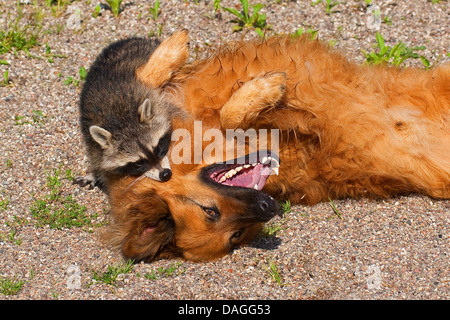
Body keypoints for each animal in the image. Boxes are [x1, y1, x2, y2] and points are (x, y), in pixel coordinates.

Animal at [74, 30, 190, 190]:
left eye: (158, 148)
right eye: (139, 163)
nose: (165, 174)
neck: (121, 120)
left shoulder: (158, 100)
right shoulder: (91, 138)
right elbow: (98, 159)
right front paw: (95, 174)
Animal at [103, 33, 448, 262]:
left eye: (209, 211)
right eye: (235, 235)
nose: (269, 208)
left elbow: (146, 77)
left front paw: (174, 47)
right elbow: (232, 115)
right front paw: (265, 91)